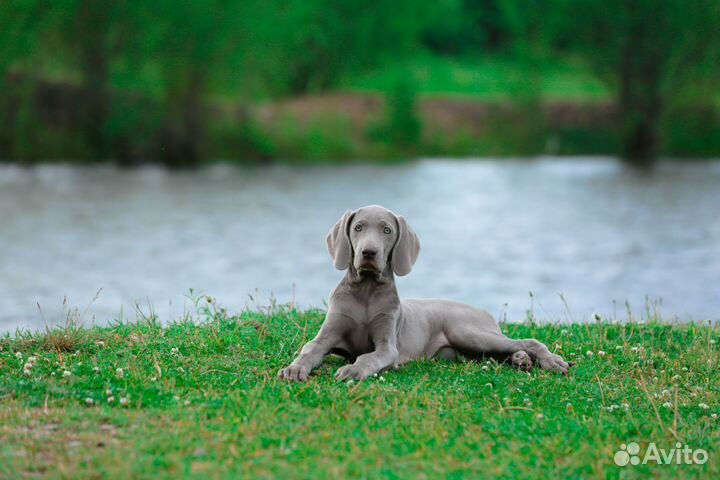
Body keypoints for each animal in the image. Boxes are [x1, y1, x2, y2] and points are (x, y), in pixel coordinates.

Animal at [278, 206, 572, 382]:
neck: (366, 291)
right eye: (358, 227)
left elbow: (369, 356)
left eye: (387, 230)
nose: (368, 253)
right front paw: (294, 368)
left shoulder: (388, 346)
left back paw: (551, 361)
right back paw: (520, 360)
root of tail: (484, 312)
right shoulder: (326, 335)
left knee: (527, 340)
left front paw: (353, 369)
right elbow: (309, 349)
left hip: (467, 331)